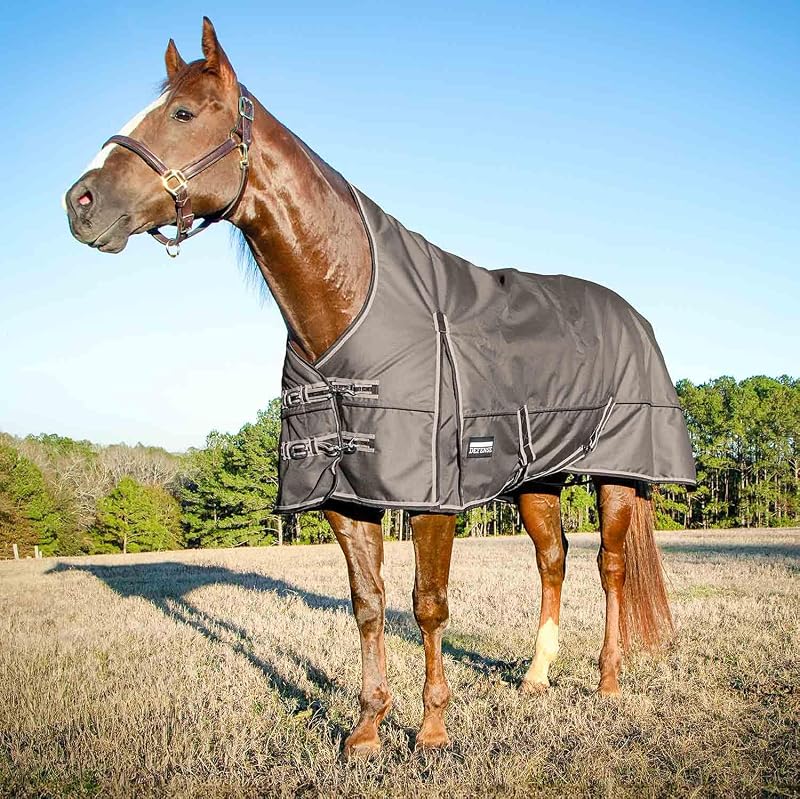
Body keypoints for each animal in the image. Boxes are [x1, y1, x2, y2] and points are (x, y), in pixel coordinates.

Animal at [64, 18, 680, 758]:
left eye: (182, 112)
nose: (80, 203)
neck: (348, 305)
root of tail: (633, 314)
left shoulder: (433, 496)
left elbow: (428, 604)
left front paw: (433, 729)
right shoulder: (343, 495)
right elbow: (368, 604)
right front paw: (365, 729)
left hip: (616, 473)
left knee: (610, 567)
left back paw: (608, 681)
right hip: (539, 476)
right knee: (552, 561)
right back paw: (535, 678)